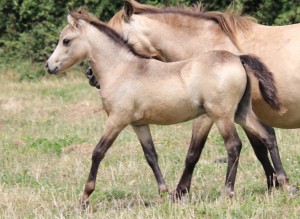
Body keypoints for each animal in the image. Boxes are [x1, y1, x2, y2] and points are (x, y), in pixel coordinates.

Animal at [46, 9, 284, 207]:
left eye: (66, 40)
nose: (49, 66)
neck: (123, 69)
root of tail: (238, 59)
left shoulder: (117, 120)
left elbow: (98, 152)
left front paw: (85, 197)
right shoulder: (139, 124)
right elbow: (151, 155)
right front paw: (164, 192)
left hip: (221, 115)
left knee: (234, 145)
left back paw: (228, 191)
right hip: (241, 112)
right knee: (267, 135)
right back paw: (284, 182)